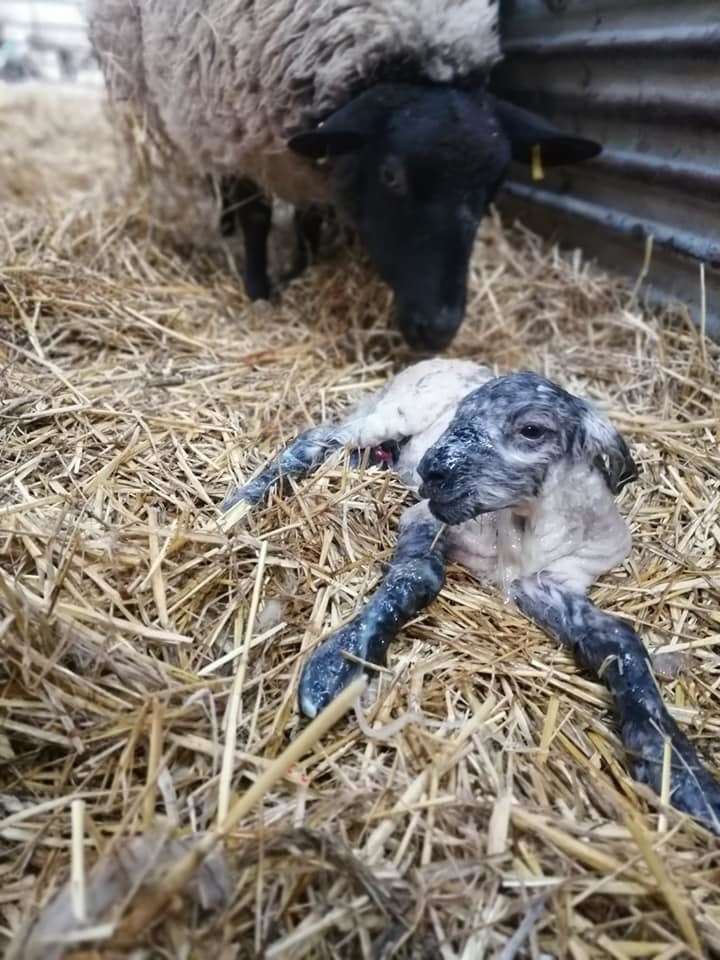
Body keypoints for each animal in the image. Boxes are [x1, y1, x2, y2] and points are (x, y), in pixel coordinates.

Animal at [225, 356, 720, 828]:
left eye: (532, 430)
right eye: (461, 417)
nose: (432, 471)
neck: (522, 534)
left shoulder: (550, 583)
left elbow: (621, 640)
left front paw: (681, 772)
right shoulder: (428, 517)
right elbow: (417, 577)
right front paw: (340, 666)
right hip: (394, 411)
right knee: (321, 437)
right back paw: (244, 500)